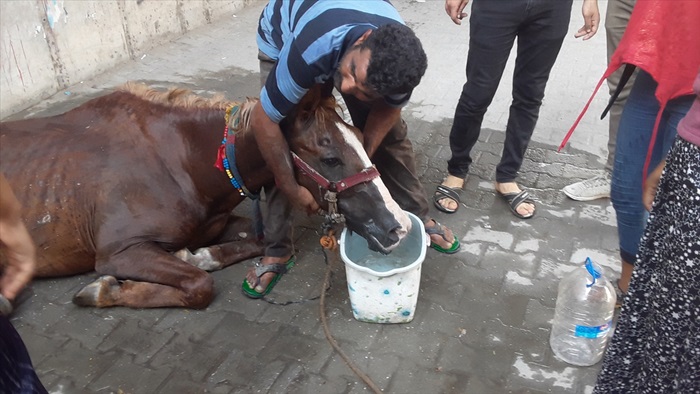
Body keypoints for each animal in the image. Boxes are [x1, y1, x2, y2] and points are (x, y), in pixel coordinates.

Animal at [0, 83, 410, 310]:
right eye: (330, 158)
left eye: (360, 137)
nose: (398, 227)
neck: (180, 161)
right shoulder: (119, 251)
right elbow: (199, 286)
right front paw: (104, 290)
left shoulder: (216, 225)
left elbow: (259, 240)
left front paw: (195, 255)